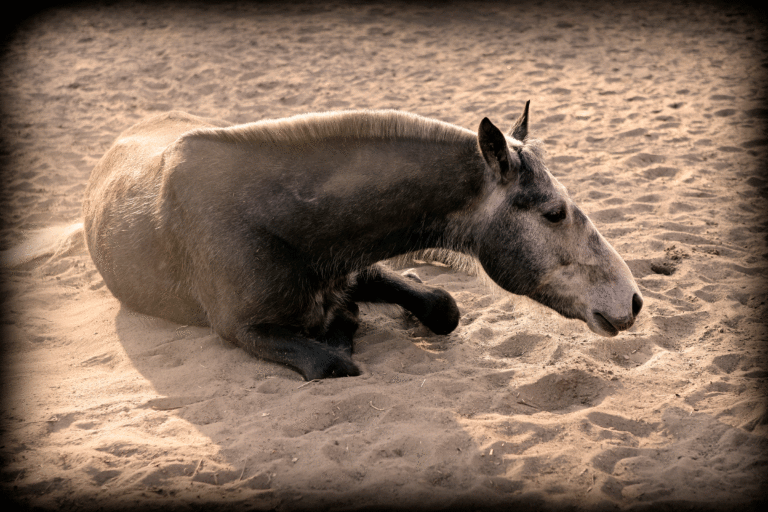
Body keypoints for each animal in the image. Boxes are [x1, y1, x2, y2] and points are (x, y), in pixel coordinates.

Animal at [84, 103, 644, 380]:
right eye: (553, 213)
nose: (635, 301)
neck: (277, 218)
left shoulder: (355, 270)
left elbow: (441, 304)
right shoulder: (241, 329)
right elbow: (333, 361)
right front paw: (342, 331)